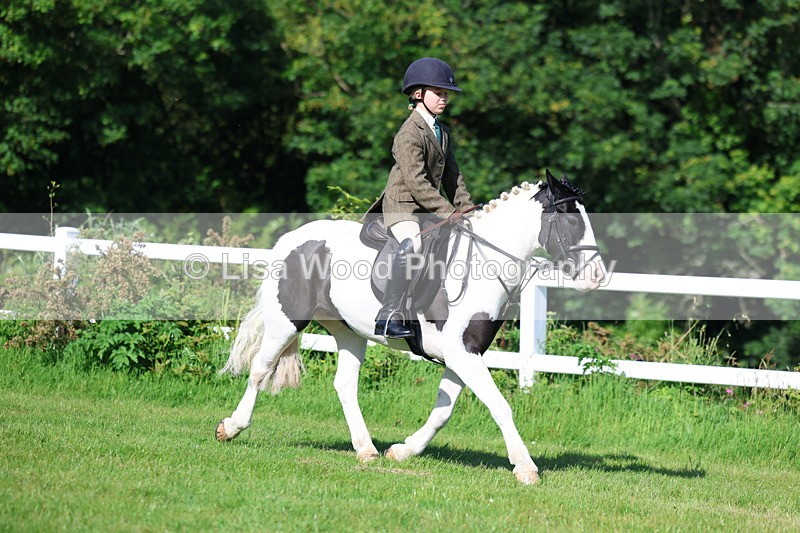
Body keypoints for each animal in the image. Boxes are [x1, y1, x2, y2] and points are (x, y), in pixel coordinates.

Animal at [214, 170, 606, 485]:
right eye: (572, 221)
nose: (597, 278)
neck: (485, 263)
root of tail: (292, 239)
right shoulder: (463, 354)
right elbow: (499, 405)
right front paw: (525, 467)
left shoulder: (463, 355)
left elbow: (442, 412)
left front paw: (402, 451)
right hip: (286, 322)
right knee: (260, 369)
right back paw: (231, 428)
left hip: (348, 331)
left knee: (344, 385)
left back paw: (366, 450)